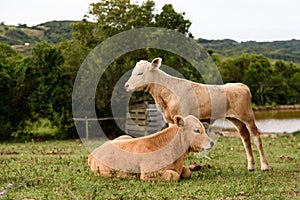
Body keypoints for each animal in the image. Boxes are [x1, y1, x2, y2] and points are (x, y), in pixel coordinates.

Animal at [125, 57, 270, 170]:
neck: (164, 96)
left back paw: (264, 166)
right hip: (236, 119)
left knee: (256, 136)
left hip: (248, 116)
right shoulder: (170, 120)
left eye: (140, 73)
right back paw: (251, 166)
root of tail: (240, 85)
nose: (126, 85)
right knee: (245, 137)